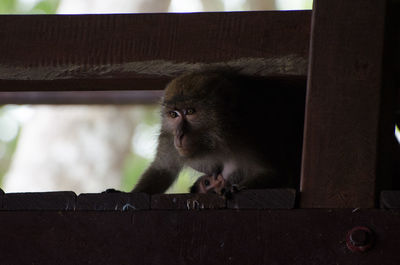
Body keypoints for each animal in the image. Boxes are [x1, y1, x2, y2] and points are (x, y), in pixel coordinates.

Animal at [132, 69, 306, 194]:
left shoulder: (252, 133)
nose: (179, 135)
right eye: (173, 115)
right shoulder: (168, 138)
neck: (214, 140)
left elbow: (274, 172)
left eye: (190, 111)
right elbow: (162, 170)